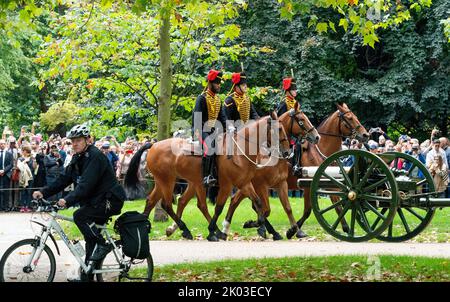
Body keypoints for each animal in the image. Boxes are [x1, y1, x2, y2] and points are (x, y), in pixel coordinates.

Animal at [124, 114, 292, 242]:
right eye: (278, 129)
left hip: (167, 182)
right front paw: (214, 231)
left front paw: (252, 223)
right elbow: (219, 207)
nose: (287, 152)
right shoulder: (228, 185)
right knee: (168, 205)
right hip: (168, 181)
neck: (239, 151)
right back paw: (186, 229)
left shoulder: (244, 183)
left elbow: (258, 204)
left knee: (154, 201)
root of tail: (153, 145)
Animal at [225, 102, 370, 239]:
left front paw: (346, 228)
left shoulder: (329, 183)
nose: (366, 134)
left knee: (239, 201)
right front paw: (293, 231)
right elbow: (308, 210)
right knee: (244, 202)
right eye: (350, 118)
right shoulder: (308, 186)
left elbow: (338, 205)